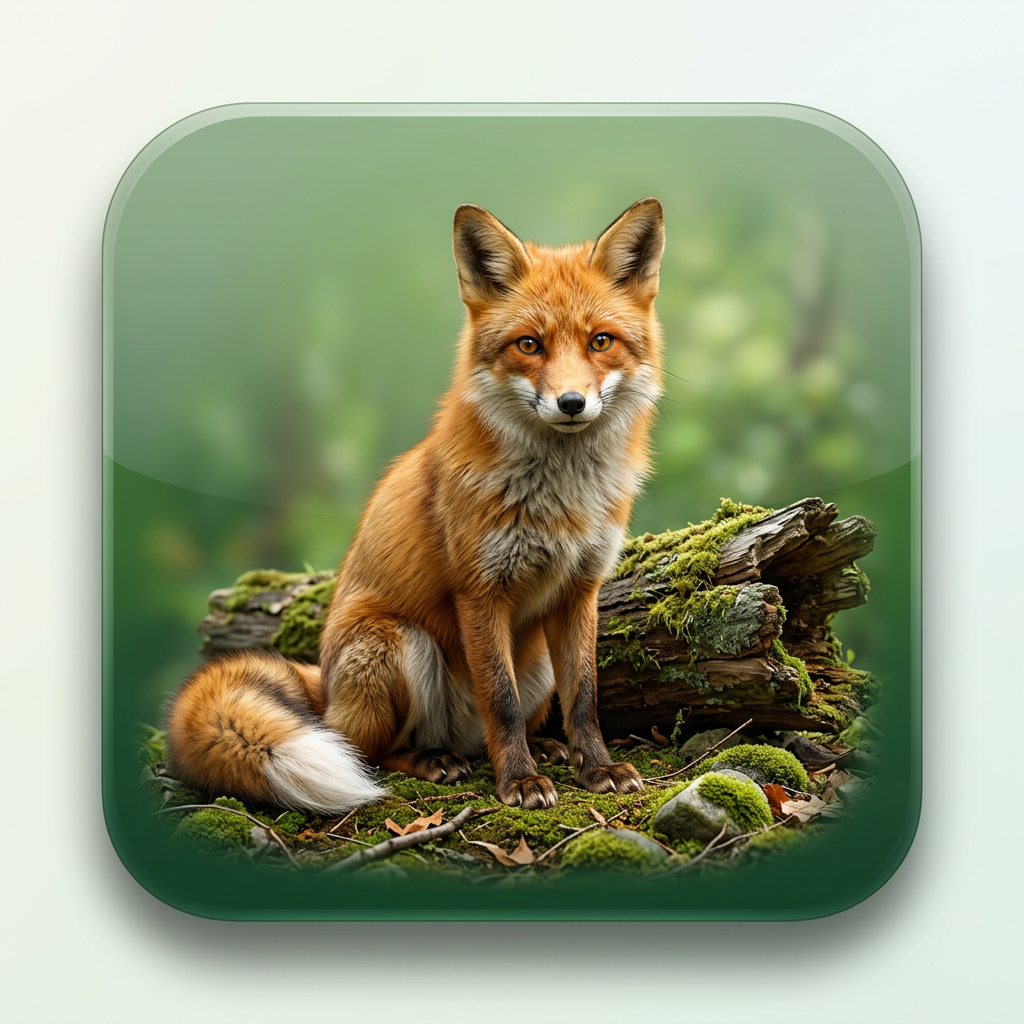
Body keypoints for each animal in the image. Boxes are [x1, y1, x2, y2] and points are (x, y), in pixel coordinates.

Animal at [166, 198, 666, 813]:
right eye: (529, 344)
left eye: (600, 341)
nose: (571, 403)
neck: (560, 499)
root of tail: (325, 686)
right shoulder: (479, 590)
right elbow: (500, 701)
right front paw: (518, 782)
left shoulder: (580, 590)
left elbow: (585, 698)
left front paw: (595, 768)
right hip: (400, 645)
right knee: (369, 751)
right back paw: (434, 761)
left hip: (537, 664)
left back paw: (542, 749)